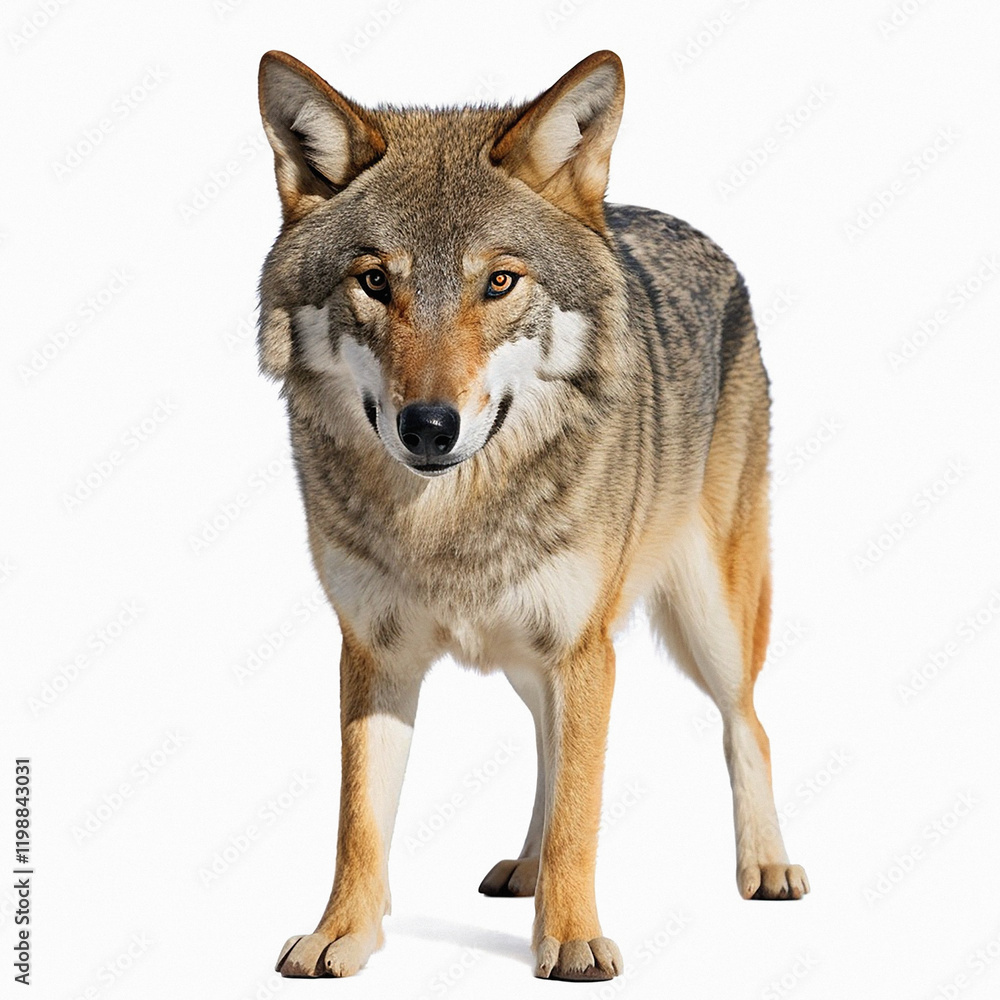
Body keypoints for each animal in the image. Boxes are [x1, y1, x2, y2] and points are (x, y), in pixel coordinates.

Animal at [256, 48, 809, 983]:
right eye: (375, 282)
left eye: (499, 282)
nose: (429, 426)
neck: (449, 526)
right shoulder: (373, 651)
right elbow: (359, 820)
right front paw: (340, 935)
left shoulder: (582, 649)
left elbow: (584, 810)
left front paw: (575, 939)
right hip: (531, 657)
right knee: (551, 749)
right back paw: (526, 865)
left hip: (707, 622)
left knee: (749, 723)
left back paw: (764, 865)